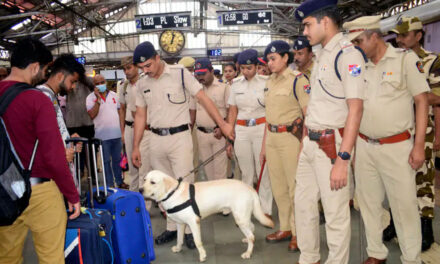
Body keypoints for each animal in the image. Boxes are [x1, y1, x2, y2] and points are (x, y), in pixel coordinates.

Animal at [141, 170, 274, 260]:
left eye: (153, 182)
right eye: (144, 180)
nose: (140, 190)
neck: (172, 193)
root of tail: (250, 188)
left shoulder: (194, 222)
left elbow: (197, 241)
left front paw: (202, 255)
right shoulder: (180, 223)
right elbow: (179, 238)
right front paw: (178, 248)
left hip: (240, 217)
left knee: (252, 236)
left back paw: (248, 253)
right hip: (242, 217)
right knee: (252, 229)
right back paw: (247, 240)